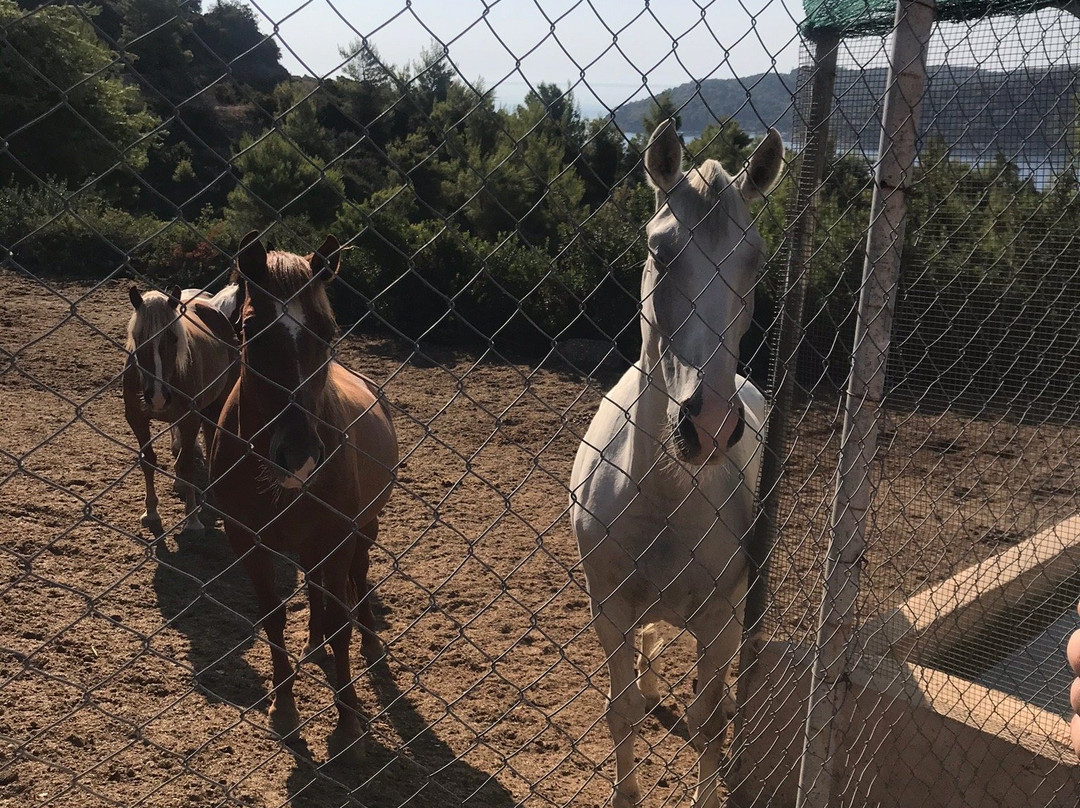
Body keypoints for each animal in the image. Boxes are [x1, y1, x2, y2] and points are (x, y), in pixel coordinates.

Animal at [124, 285, 240, 536]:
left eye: (174, 338)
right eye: (139, 338)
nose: (157, 396)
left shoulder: (190, 419)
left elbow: (187, 466)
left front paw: (192, 519)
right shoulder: (137, 419)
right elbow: (148, 461)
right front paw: (151, 512)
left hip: (217, 402)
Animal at [209, 232, 398, 764]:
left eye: (328, 330)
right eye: (249, 328)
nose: (298, 455)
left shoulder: (336, 537)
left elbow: (340, 625)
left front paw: (349, 722)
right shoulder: (247, 543)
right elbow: (274, 620)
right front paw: (285, 708)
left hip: (361, 532)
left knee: (357, 581)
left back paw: (368, 639)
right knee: (316, 588)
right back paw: (312, 647)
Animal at [569, 119, 783, 808]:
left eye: (755, 259)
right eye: (660, 252)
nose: (709, 424)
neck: (662, 494)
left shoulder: (719, 620)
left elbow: (709, 721)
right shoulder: (607, 607)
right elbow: (621, 712)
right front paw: (626, 792)